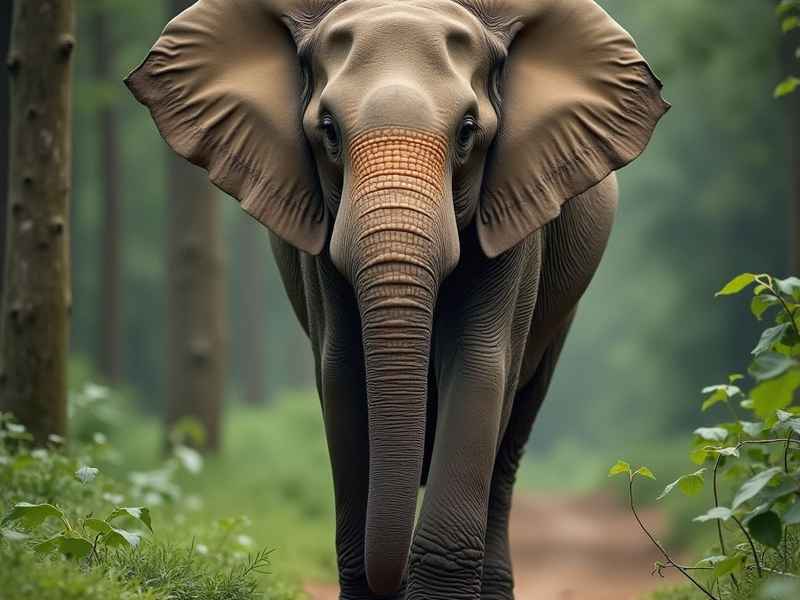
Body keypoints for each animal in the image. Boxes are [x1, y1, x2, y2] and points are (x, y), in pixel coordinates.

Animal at [126, 0, 668, 598]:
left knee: (511, 439)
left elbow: (480, 366)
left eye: (467, 132)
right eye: (329, 131)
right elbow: (342, 372)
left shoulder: (514, 218)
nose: (394, 578)